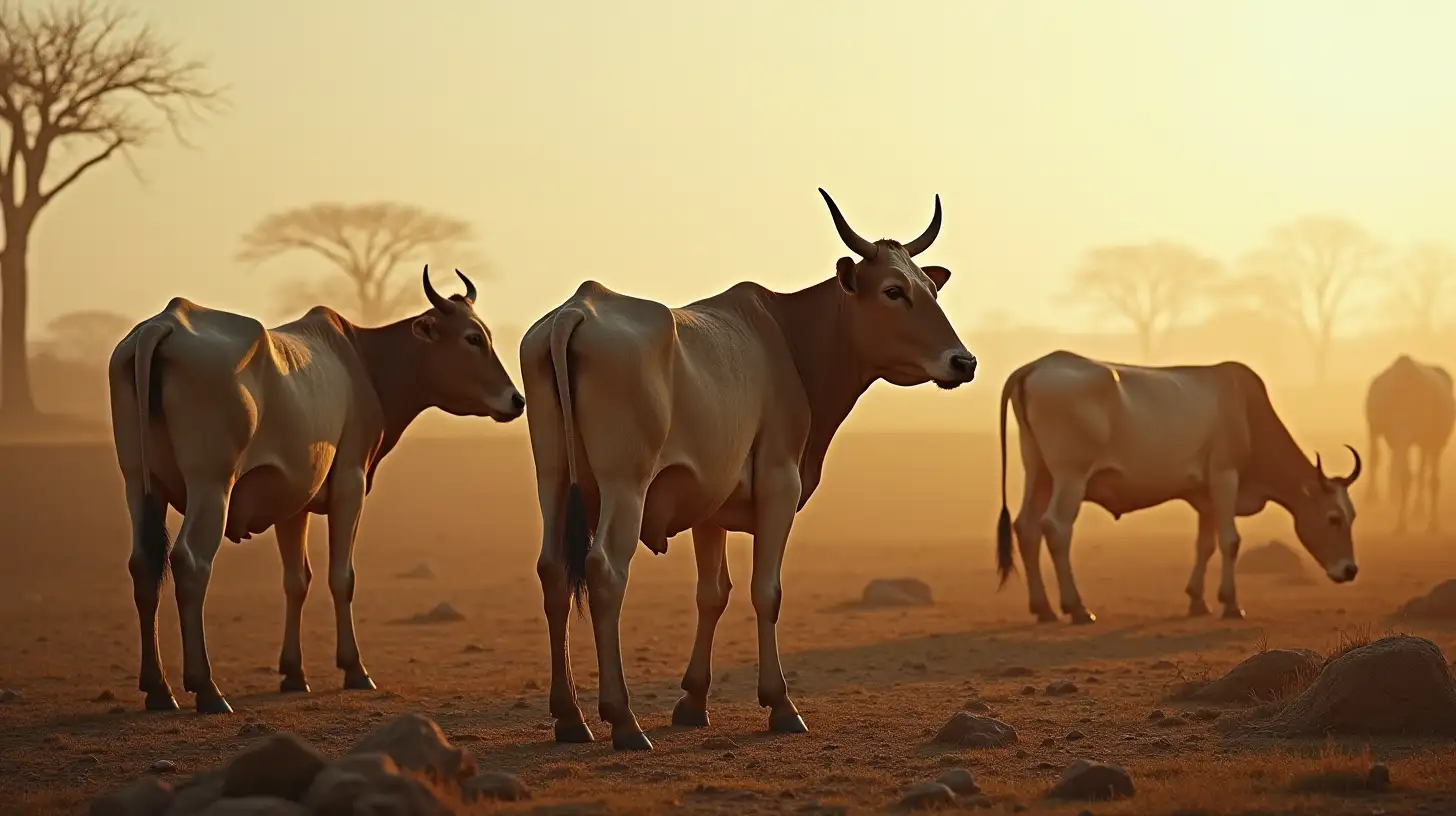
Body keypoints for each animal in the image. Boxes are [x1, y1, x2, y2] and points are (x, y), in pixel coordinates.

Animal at [110, 269, 527, 714]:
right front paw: (355, 669)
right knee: (190, 562)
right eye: (472, 338)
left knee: (144, 565)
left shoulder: (292, 504)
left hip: (139, 486)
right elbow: (341, 577)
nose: (516, 400)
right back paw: (206, 688)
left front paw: (294, 673)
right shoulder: (350, 483)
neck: (361, 361)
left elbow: (297, 579)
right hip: (212, 486)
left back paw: (159, 688)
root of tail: (163, 325)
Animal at [524, 187, 978, 751]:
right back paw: (623, 720)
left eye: (930, 289)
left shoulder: (707, 506)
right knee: (605, 569)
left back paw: (569, 717)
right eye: (894, 291)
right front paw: (781, 704)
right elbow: (767, 590)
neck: (788, 339)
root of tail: (576, 311)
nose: (963, 362)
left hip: (552, 480)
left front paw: (693, 701)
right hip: (624, 486)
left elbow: (713, 593)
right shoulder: (780, 483)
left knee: (553, 570)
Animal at [995, 351, 1356, 623]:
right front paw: (1231, 604)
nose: (1350, 570)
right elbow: (1230, 541)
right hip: (1071, 476)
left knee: (1026, 527)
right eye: (1333, 518)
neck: (1246, 411)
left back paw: (1043, 609)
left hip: (1039, 473)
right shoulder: (1225, 477)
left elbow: (1205, 544)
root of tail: (1036, 366)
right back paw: (1078, 608)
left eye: (1352, 517)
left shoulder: (1205, 495)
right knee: (1056, 528)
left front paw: (1198, 601)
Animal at [1362, 352, 1456, 533]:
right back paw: (1371, 496)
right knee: (1375, 456)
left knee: (1420, 470)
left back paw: (1417, 508)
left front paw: (1433, 524)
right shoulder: (1400, 436)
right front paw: (1401, 525)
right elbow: (1405, 475)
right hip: (1375, 429)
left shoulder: (1432, 440)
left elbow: (1428, 478)